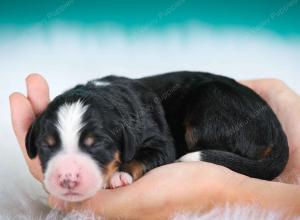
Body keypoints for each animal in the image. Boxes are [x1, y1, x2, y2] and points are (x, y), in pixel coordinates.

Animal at [25, 72, 288, 201]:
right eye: (46, 146)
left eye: (97, 145)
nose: (67, 178)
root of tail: (276, 129)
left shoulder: (161, 142)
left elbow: (143, 156)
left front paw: (120, 174)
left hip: (209, 101)